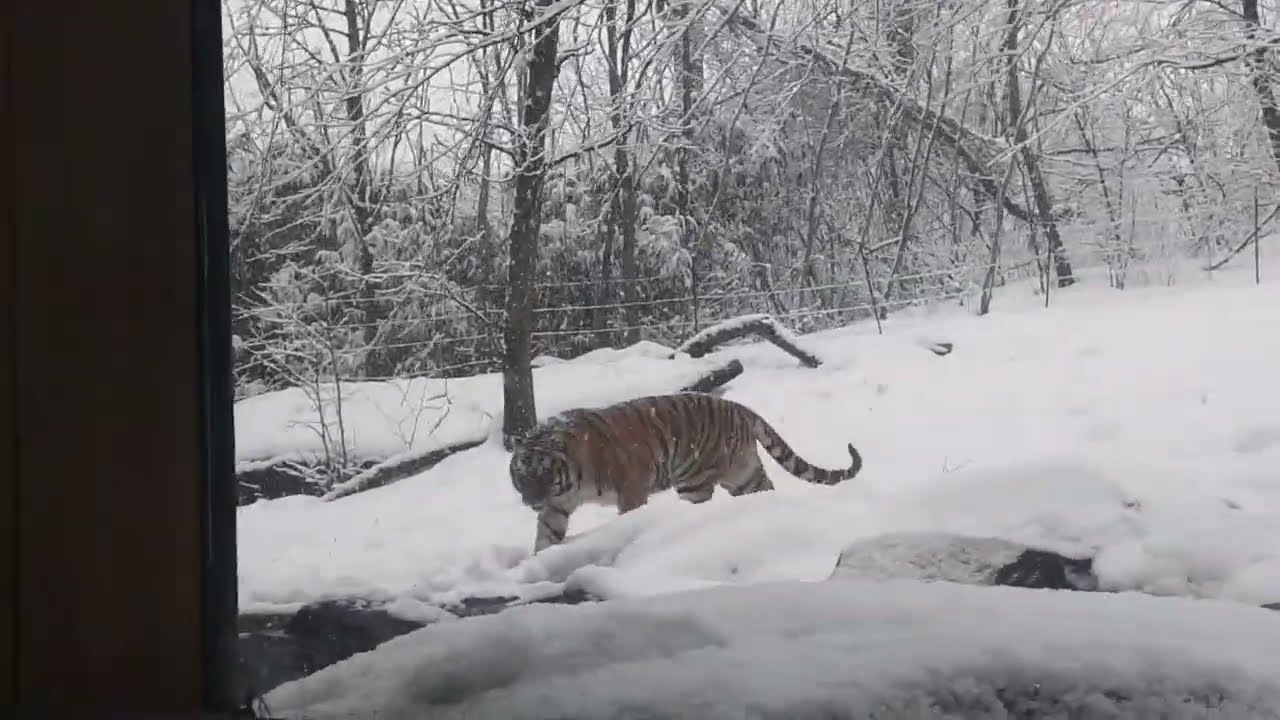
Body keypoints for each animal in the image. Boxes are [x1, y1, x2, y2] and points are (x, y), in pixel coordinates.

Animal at [509, 392, 863, 552]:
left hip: (696, 481)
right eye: (522, 477)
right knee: (765, 487)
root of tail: (737, 406)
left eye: (543, 475)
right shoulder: (556, 506)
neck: (570, 481)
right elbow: (546, 534)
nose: (531, 501)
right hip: (743, 473)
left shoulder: (630, 488)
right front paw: (538, 561)